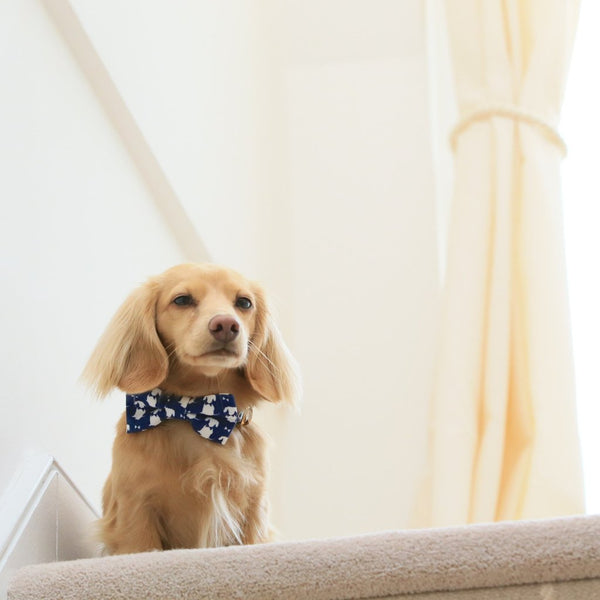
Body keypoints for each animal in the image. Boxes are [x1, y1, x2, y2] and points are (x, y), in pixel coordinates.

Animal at [83, 264, 298, 556]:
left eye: (244, 303)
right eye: (182, 299)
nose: (226, 325)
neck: (195, 410)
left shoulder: (254, 511)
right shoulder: (135, 512)